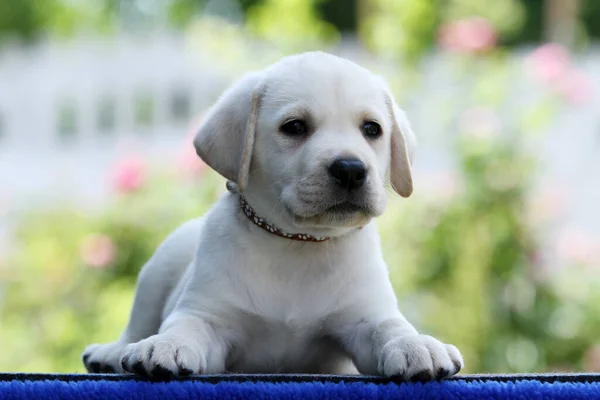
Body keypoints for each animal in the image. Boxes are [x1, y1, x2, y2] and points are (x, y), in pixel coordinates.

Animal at [81, 51, 464, 380]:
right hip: (157, 269)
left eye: (372, 129)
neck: (298, 241)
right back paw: (110, 352)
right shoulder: (208, 314)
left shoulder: (364, 317)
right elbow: (186, 325)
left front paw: (415, 343)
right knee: (137, 322)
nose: (351, 169)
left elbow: (389, 326)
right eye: (294, 127)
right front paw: (167, 344)